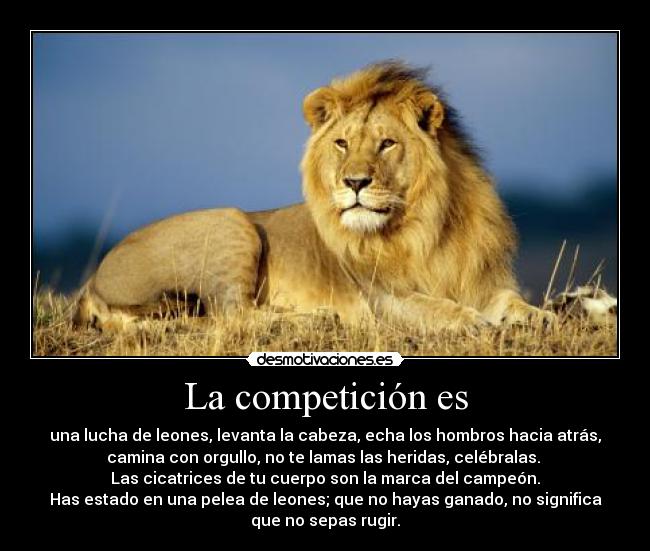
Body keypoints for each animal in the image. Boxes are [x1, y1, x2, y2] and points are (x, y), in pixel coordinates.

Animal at [74, 61, 553, 332]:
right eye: (342, 143)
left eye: (386, 144)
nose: (354, 182)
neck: (426, 227)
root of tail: (93, 281)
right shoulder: (382, 299)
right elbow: (435, 308)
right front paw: (472, 320)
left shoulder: (482, 279)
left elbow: (509, 300)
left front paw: (539, 315)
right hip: (232, 222)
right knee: (231, 313)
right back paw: (316, 318)